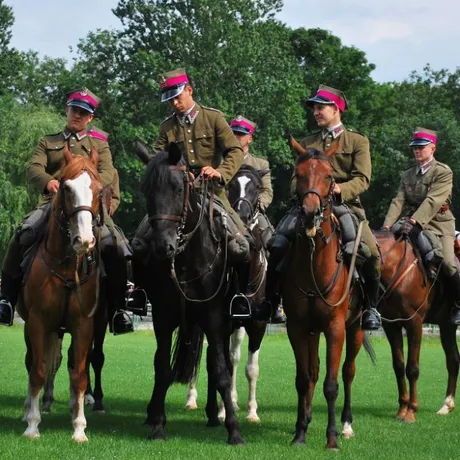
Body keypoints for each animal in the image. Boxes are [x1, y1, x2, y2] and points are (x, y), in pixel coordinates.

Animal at [16, 146, 103, 442]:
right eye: (65, 187)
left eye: (99, 189)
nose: (84, 240)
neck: (65, 267)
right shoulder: (37, 322)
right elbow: (38, 371)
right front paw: (32, 425)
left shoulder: (84, 325)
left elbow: (79, 375)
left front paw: (79, 428)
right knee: (34, 363)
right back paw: (29, 411)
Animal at [137, 142, 244, 444]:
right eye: (146, 190)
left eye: (177, 188)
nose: (164, 246)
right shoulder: (162, 317)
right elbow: (162, 368)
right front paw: (158, 424)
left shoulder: (215, 318)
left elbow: (221, 371)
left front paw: (234, 429)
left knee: (216, 362)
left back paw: (214, 415)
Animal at [376, 232, 458, 422]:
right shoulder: (391, 325)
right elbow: (399, 366)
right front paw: (402, 408)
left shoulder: (415, 324)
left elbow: (412, 368)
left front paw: (411, 411)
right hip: (446, 326)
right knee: (453, 360)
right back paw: (447, 405)